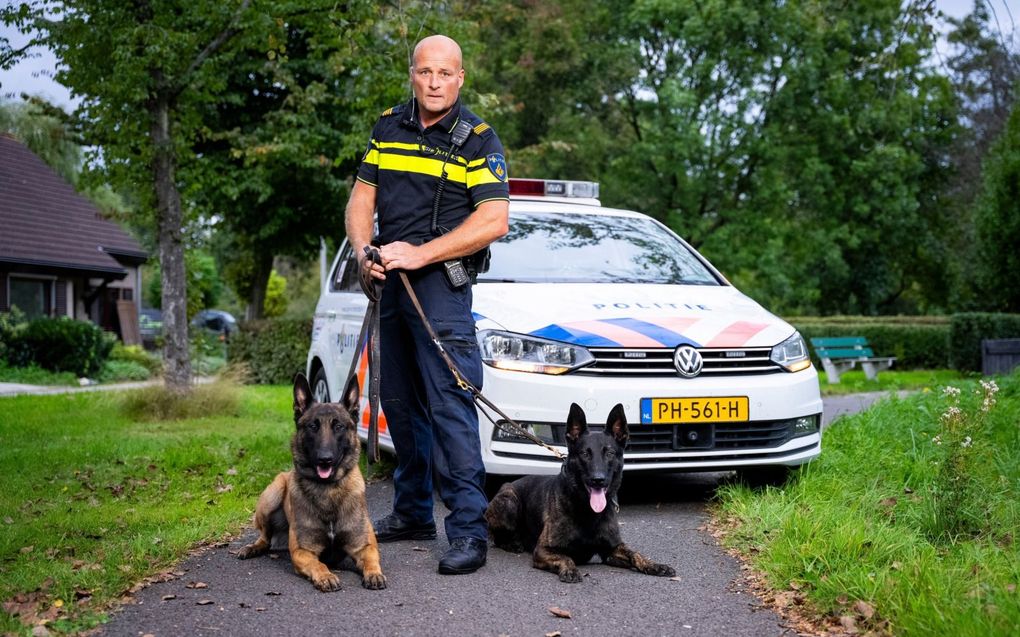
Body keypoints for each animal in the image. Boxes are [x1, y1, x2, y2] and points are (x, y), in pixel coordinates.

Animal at [236, 373, 387, 591]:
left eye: (339, 426)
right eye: (313, 426)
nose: (325, 459)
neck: (328, 489)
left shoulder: (364, 546)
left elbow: (371, 559)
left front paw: (374, 574)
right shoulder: (303, 551)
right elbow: (319, 564)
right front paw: (326, 576)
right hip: (272, 494)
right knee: (264, 537)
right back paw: (252, 548)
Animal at [485, 401, 677, 582]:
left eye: (609, 453)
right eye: (585, 454)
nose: (598, 479)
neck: (588, 510)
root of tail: (508, 484)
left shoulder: (611, 550)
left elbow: (635, 553)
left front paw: (654, 565)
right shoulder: (543, 550)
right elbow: (566, 557)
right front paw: (570, 570)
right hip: (509, 502)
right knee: (496, 536)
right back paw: (513, 543)